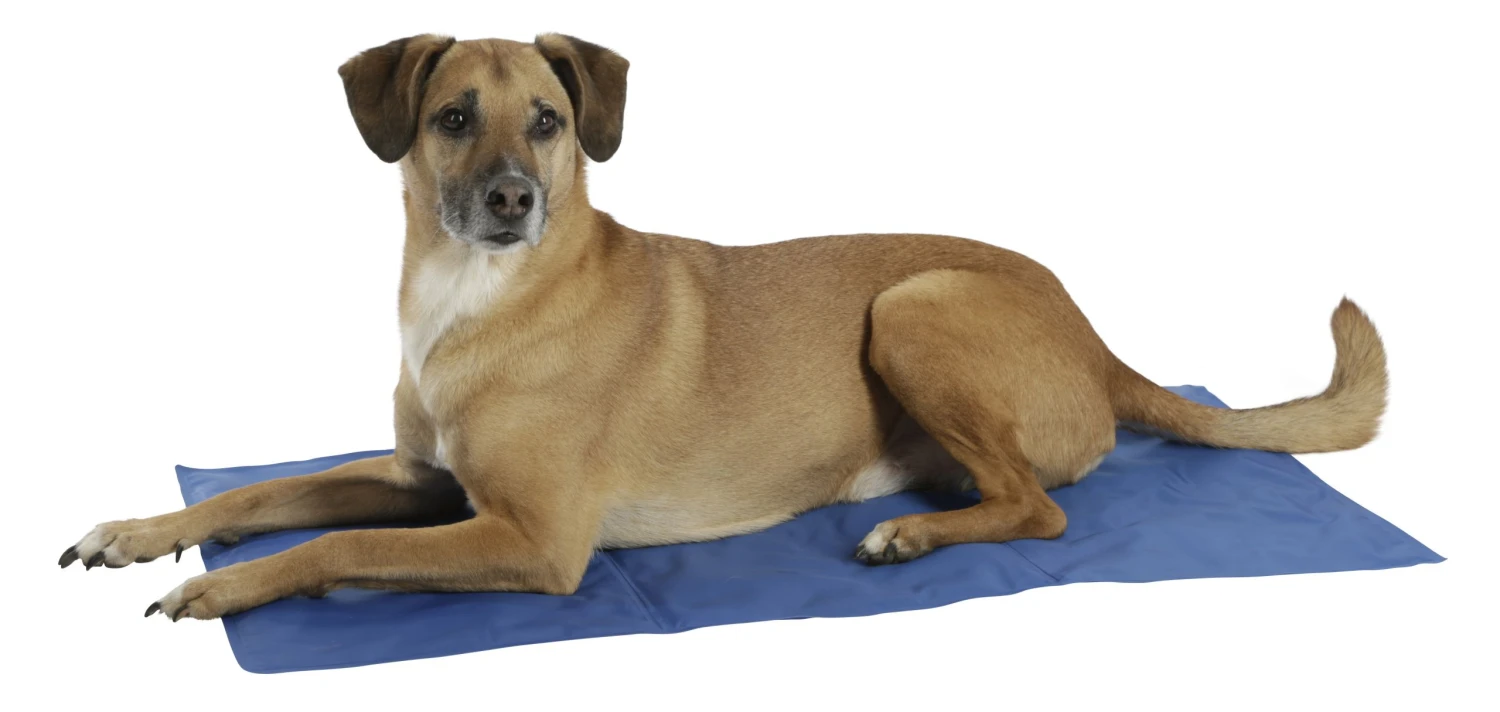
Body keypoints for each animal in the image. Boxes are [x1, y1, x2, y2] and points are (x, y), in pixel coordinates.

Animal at [60, 34, 1388, 621]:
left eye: (547, 120)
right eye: (451, 116)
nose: (513, 200)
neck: (481, 295)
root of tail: (1101, 337)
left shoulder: (536, 542)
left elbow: (333, 543)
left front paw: (228, 587)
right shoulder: (418, 477)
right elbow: (263, 493)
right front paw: (140, 531)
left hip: (914, 303)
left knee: (1043, 506)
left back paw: (913, 534)